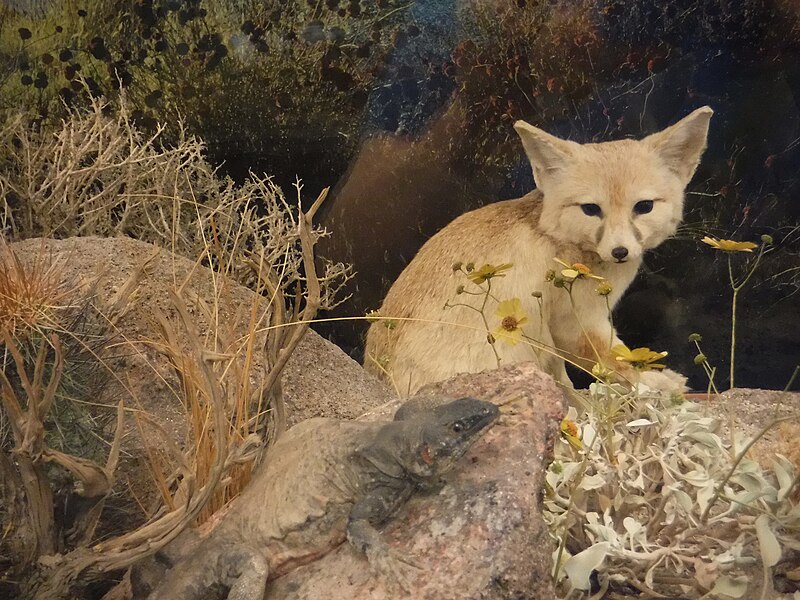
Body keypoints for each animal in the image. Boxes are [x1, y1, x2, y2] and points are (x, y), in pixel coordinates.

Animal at [368, 106, 712, 398]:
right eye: (591, 209)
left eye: (644, 207)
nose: (620, 251)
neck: (558, 236)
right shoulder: (575, 323)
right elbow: (612, 359)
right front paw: (654, 381)